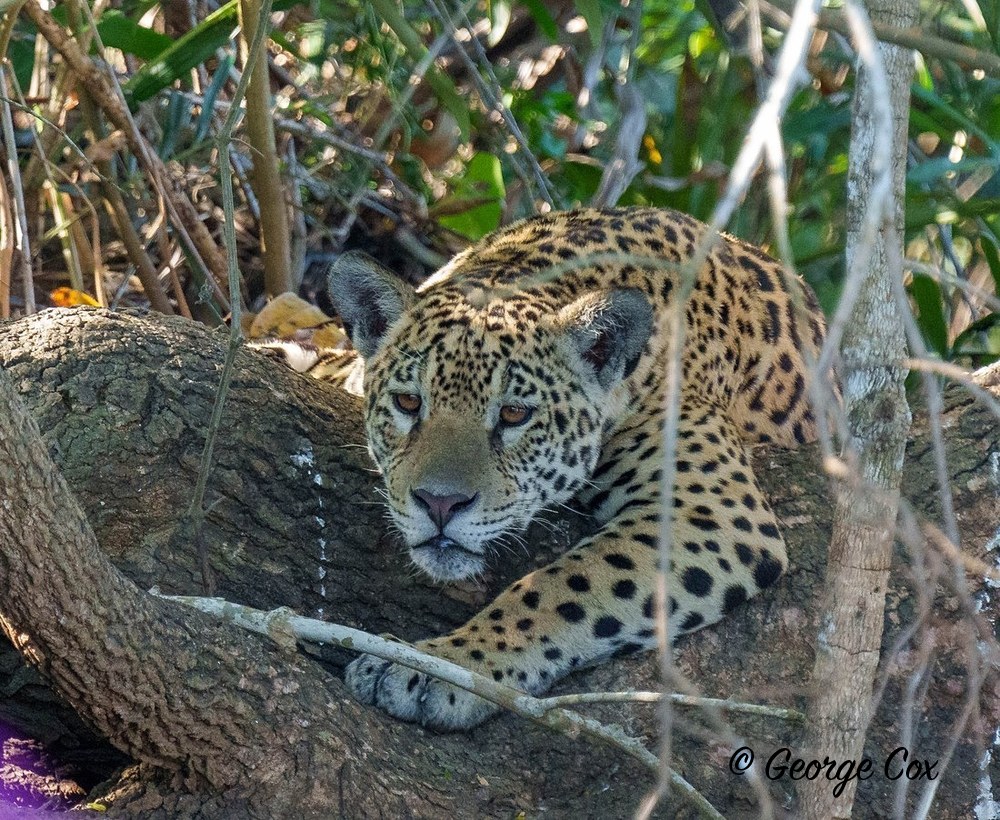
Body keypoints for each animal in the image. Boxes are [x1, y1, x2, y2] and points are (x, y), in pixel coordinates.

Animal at [278, 207, 827, 730]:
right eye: (409, 402)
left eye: (514, 414)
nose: (439, 504)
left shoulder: (713, 511)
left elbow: (556, 590)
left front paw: (433, 668)